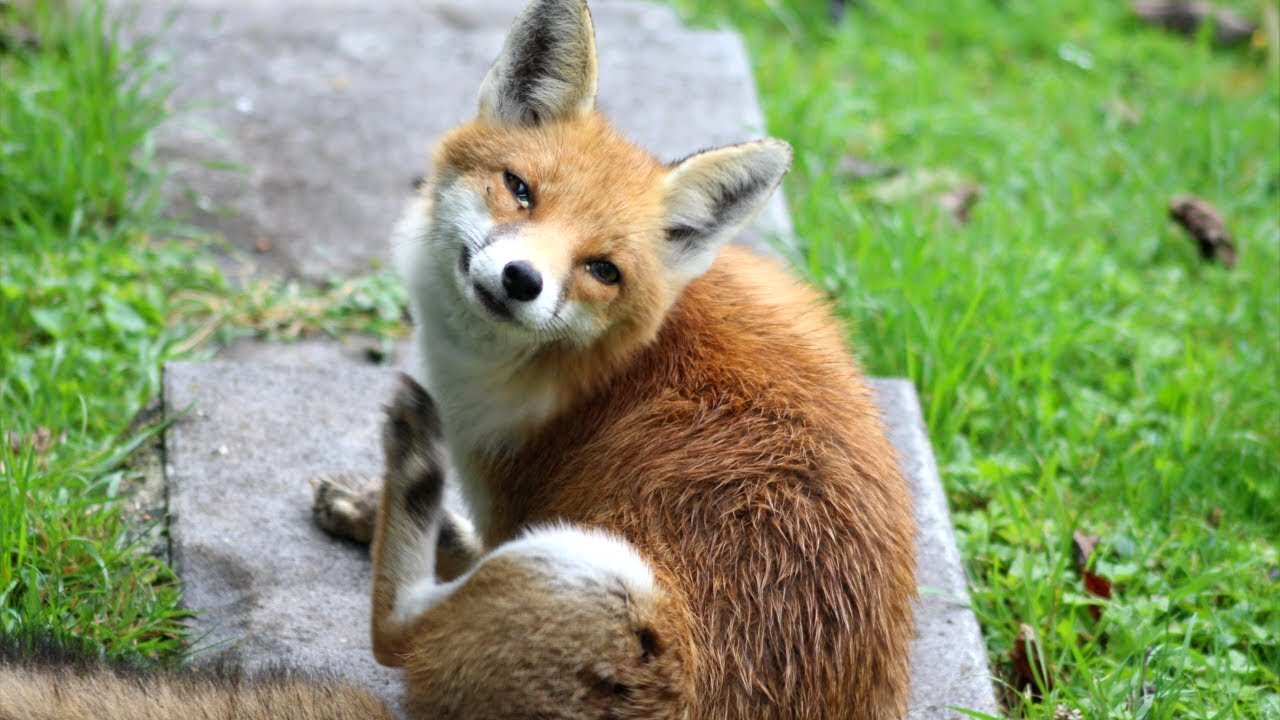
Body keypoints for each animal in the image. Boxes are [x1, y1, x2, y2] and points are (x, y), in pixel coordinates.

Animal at [366, 1, 916, 717]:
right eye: (520, 189)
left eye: (602, 269)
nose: (521, 280)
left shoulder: (515, 503)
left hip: (590, 567)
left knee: (395, 636)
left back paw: (412, 467)